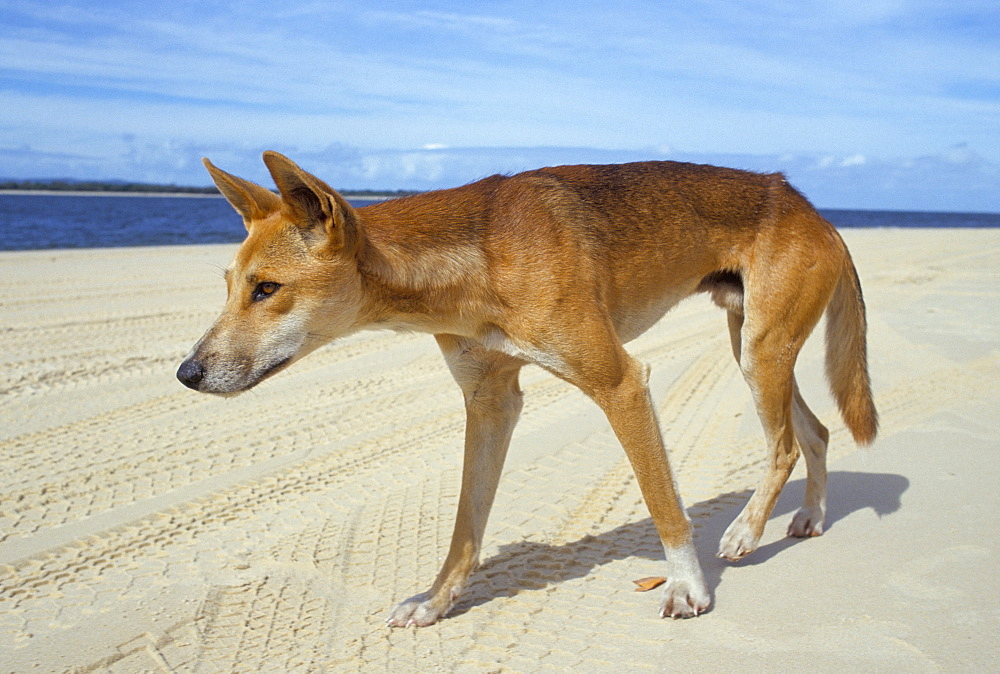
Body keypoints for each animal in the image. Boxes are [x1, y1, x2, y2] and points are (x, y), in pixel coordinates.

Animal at [178, 152, 876, 624]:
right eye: (229, 285)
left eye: (267, 289)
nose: (187, 372)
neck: (477, 259)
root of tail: (812, 208)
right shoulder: (491, 402)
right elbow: (466, 524)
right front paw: (435, 602)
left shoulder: (621, 382)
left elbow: (663, 505)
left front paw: (687, 588)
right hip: (754, 347)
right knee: (815, 431)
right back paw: (809, 517)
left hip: (760, 352)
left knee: (785, 443)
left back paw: (746, 532)